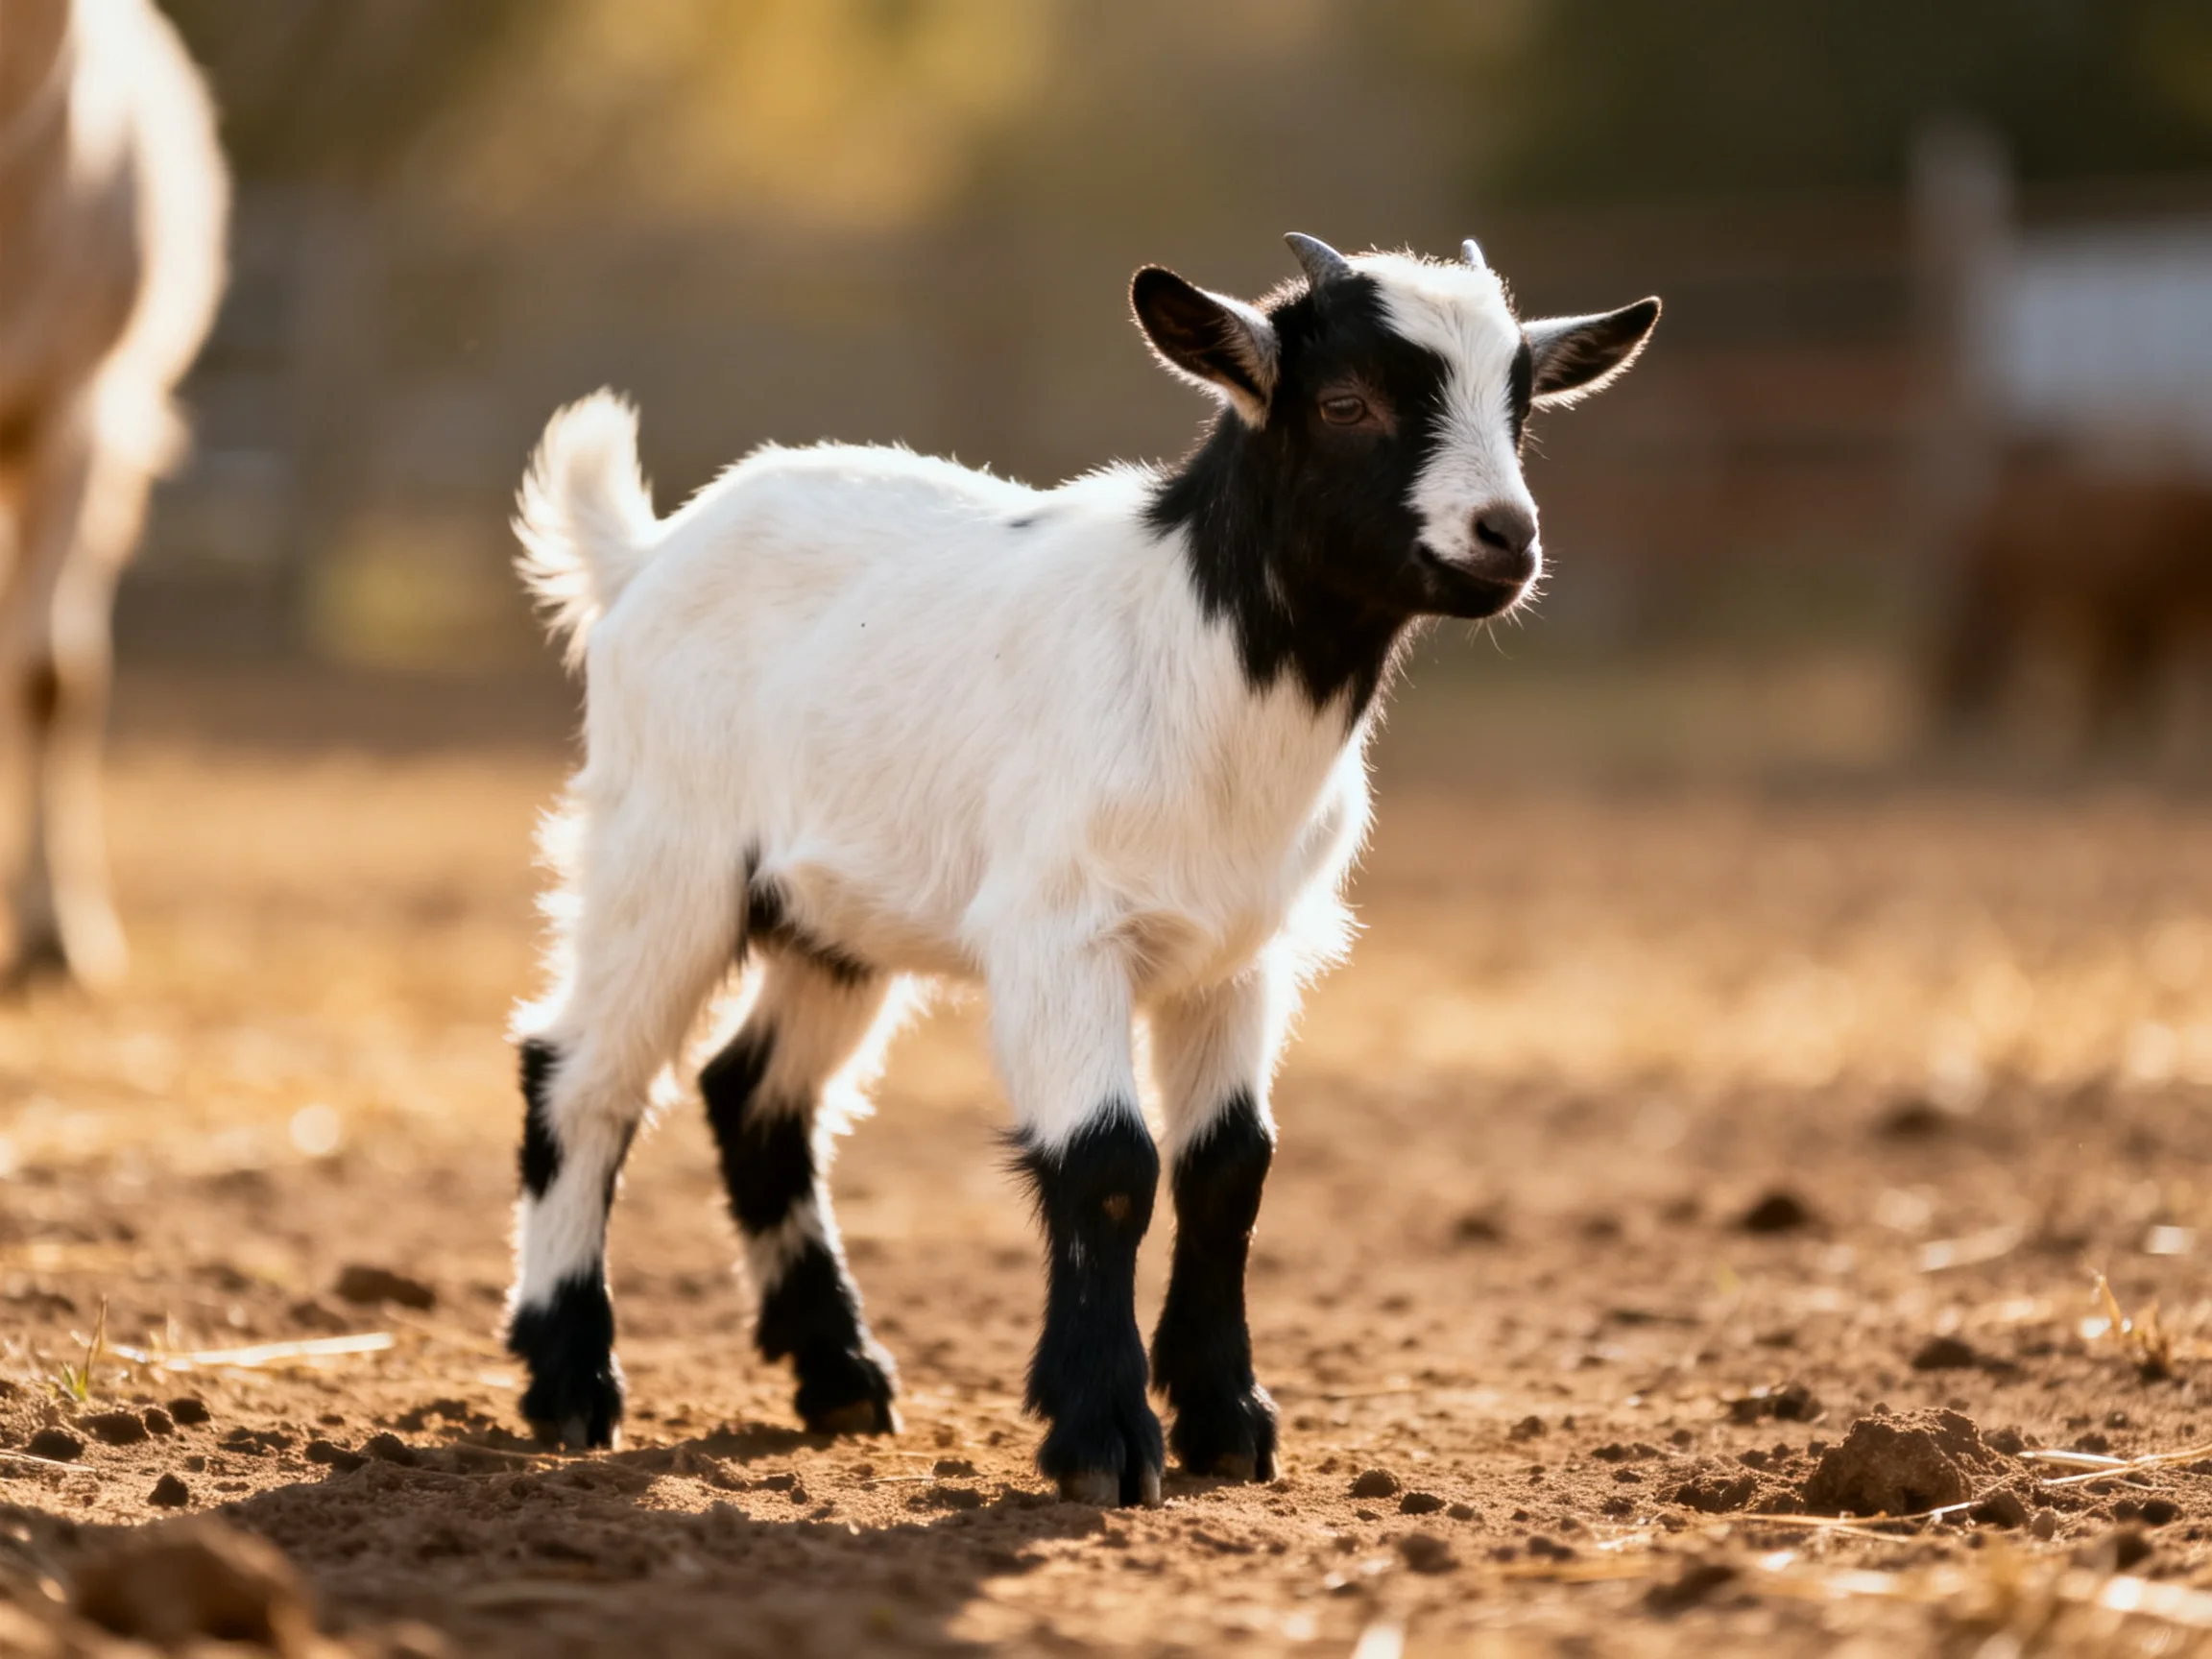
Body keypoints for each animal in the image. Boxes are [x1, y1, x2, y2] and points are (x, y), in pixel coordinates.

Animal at [505, 233, 1659, 1505]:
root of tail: (648, 556)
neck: (1198, 649)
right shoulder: (1061, 933)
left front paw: (1227, 1421)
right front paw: (1103, 1437)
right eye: (1346, 403)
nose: (1507, 536)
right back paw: (570, 1382)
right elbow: (1108, 1163)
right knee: (582, 1077)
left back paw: (841, 1375)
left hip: (831, 911)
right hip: (667, 849)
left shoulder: (1241, 952)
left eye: (1521, 406)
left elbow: (1228, 1169)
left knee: (752, 1095)